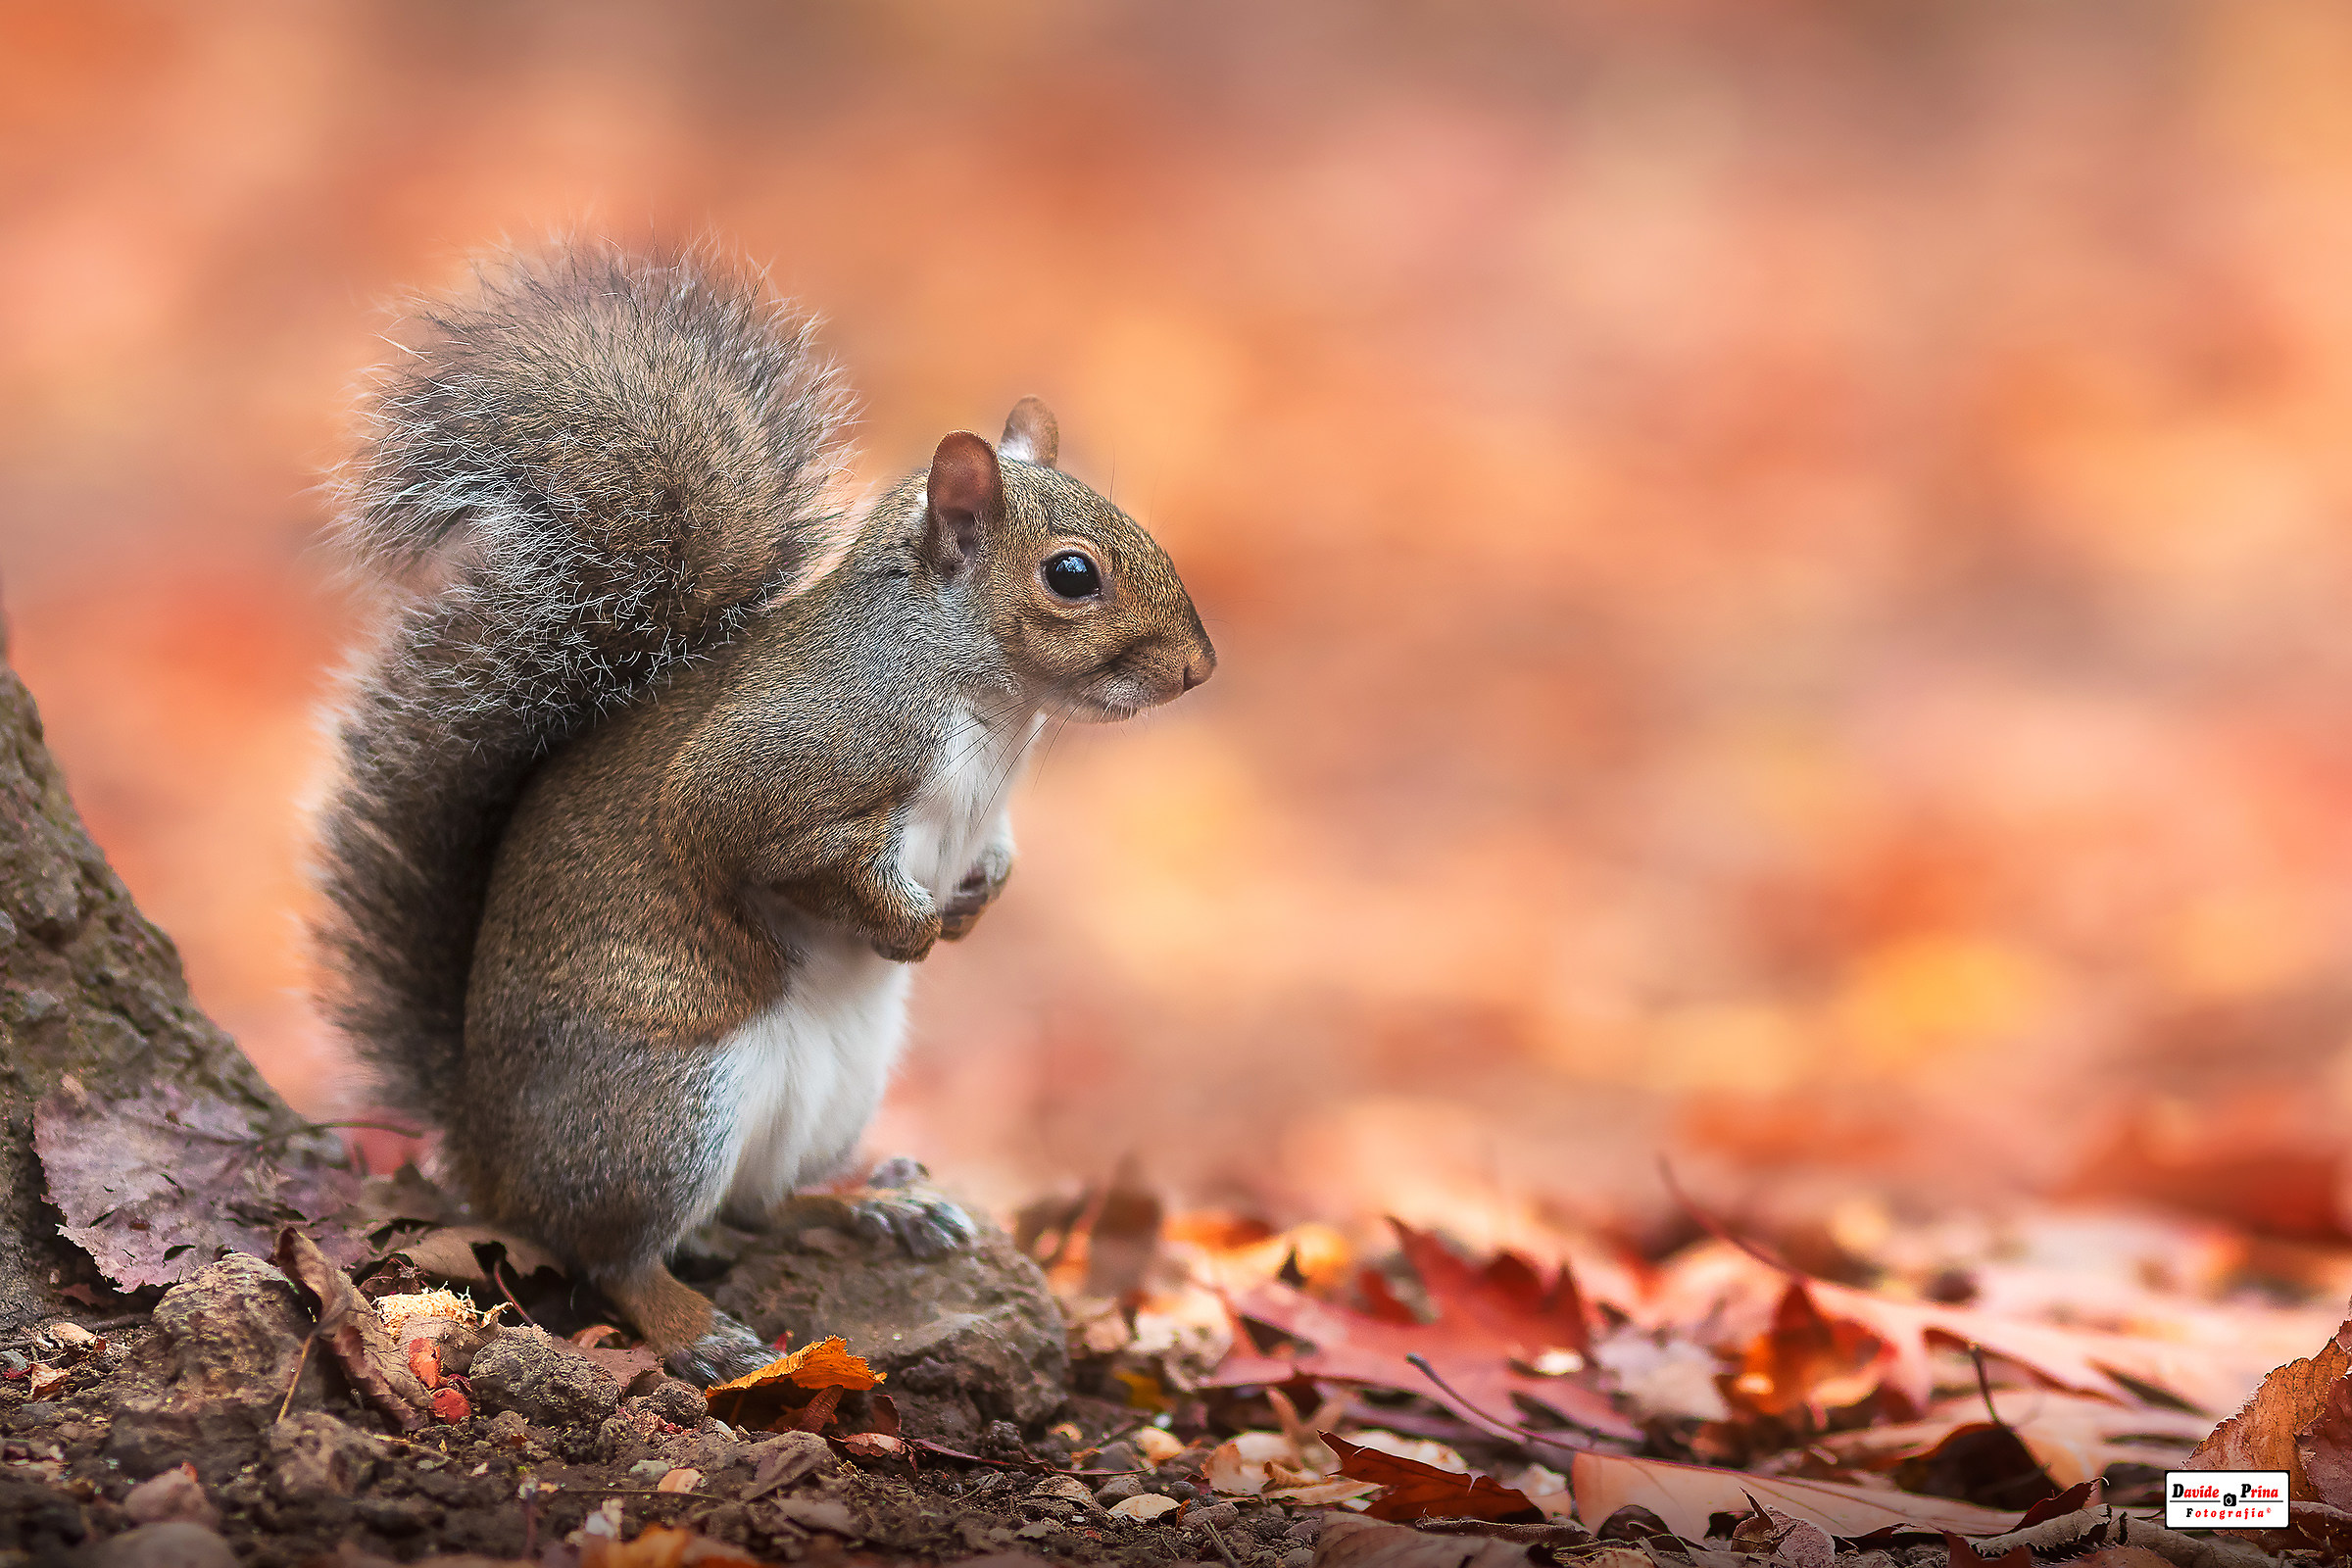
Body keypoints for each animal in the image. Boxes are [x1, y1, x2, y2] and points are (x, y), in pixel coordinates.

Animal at [308, 243, 1214, 1381]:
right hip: (664, 1113)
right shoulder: (795, 753)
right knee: (617, 1251)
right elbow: (744, 828)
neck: (994, 710)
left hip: (832, 1094)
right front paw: (911, 926)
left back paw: (871, 1209)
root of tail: (489, 1153)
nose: (1197, 669)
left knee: (756, 1211)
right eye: (1072, 574)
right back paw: (696, 1329)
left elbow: (996, 852)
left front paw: (980, 896)